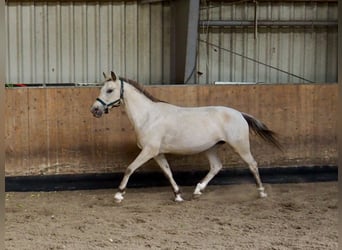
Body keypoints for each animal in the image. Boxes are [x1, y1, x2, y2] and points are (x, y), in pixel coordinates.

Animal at [90, 71, 280, 202]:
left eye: (110, 90)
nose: (95, 110)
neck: (149, 116)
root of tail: (240, 114)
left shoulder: (149, 151)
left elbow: (130, 168)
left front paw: (118, 195)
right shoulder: (157, 153)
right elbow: (168, 172)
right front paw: (178, 195)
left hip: (240, 146)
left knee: (252, 164)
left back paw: (262, 192)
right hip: (211, 148)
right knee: (216, 167)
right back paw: (197, 191)